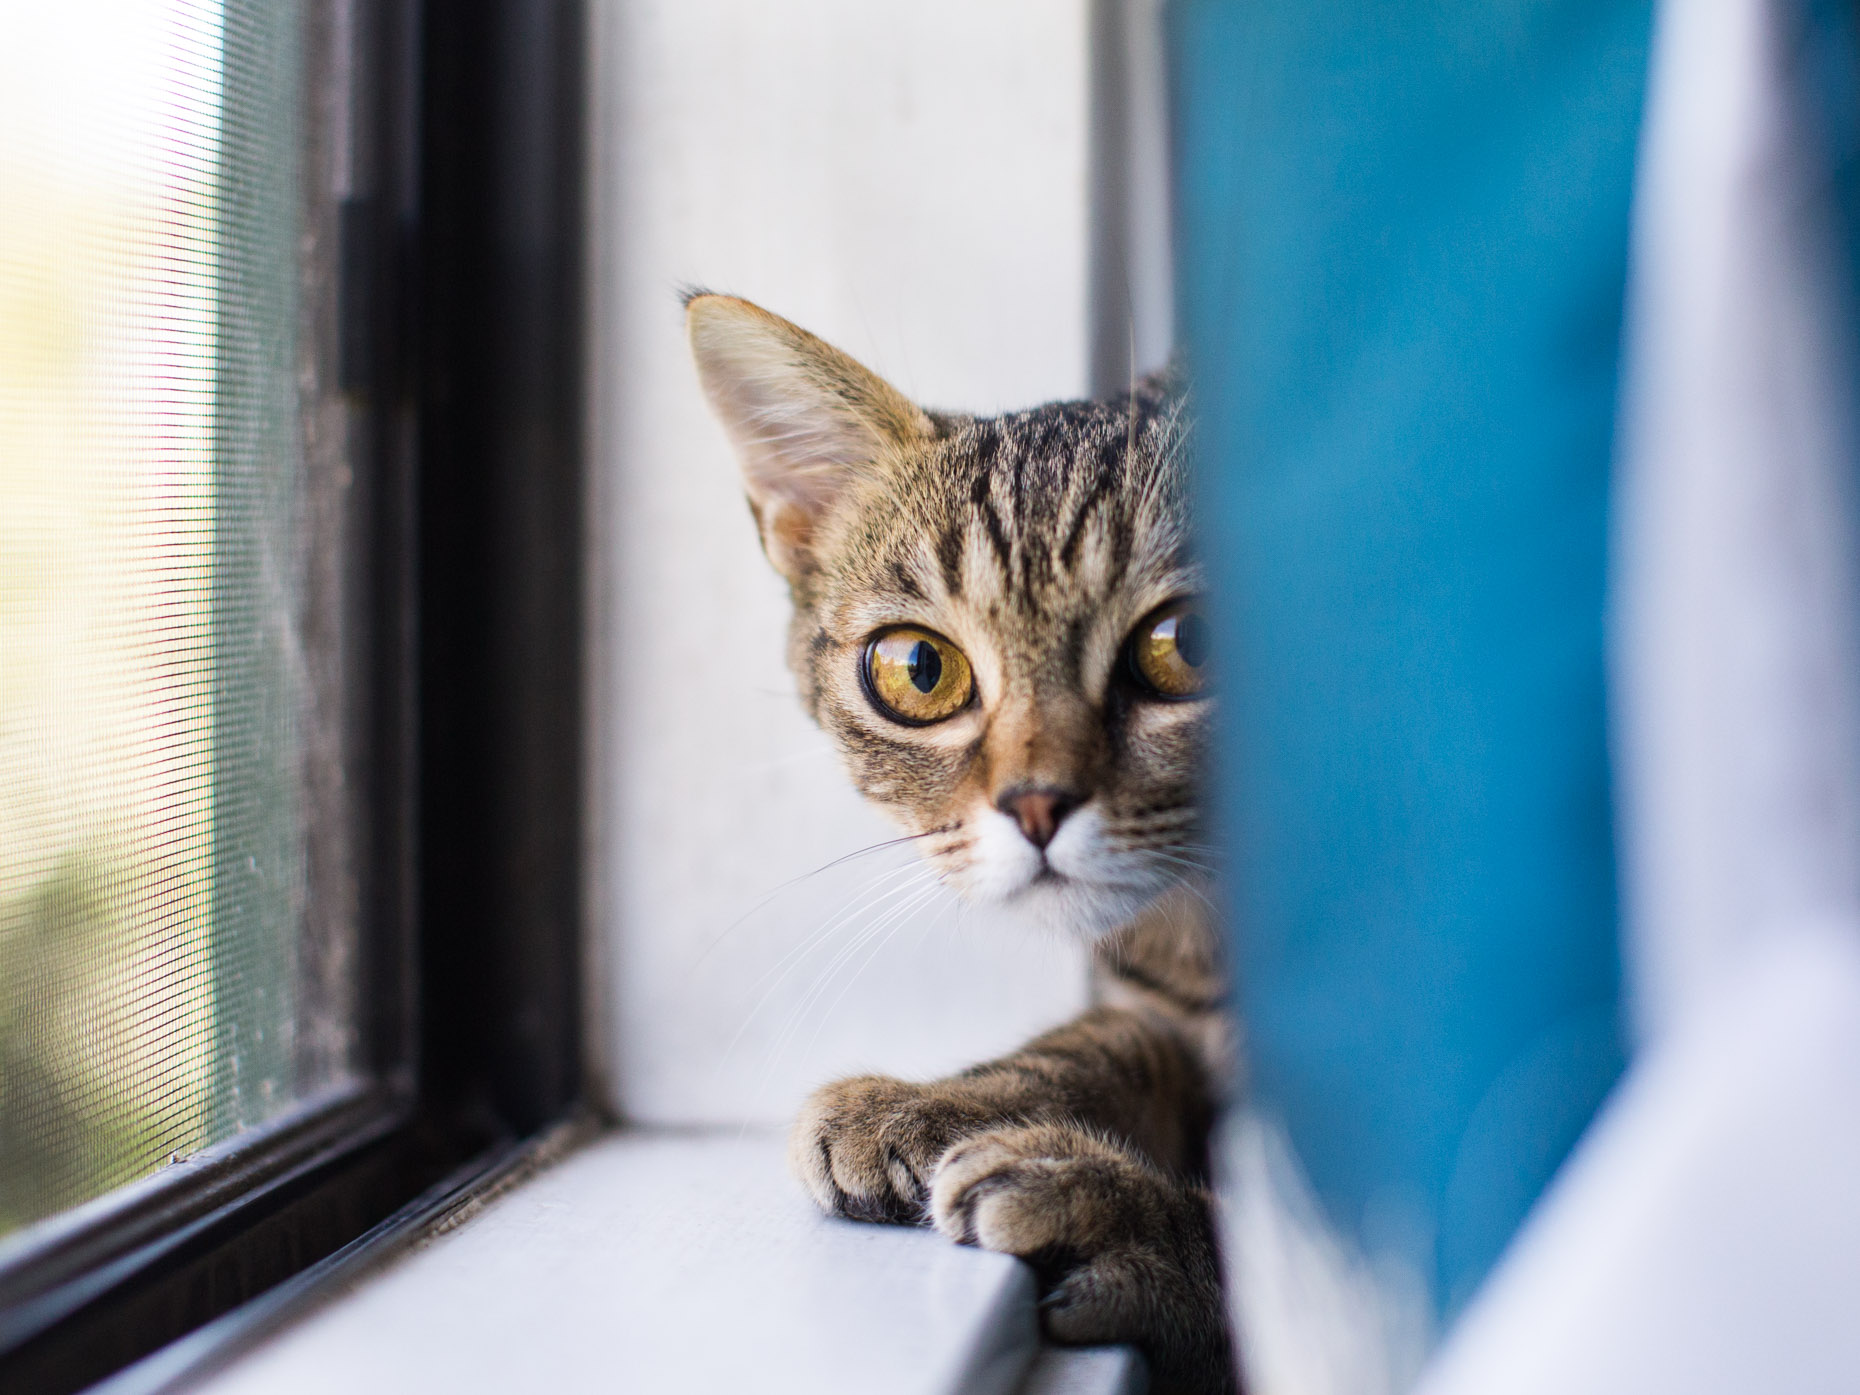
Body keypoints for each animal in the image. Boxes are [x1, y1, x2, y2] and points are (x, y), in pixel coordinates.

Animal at [684, 295, 1235, 1395]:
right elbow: (1102, 1037)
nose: (1036, 803)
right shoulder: (1154, 1004)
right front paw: (939, 1101)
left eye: (1188, 645)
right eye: (918, 668)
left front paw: (1119, 1214)